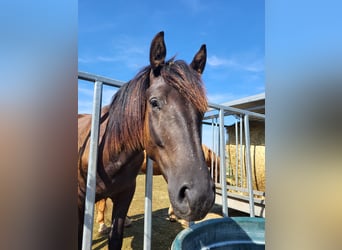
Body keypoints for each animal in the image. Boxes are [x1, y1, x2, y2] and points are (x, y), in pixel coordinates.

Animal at [79, 31, 215, 250]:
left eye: (202, 111)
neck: (107, 154)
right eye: (154, 102)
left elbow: (115, 237)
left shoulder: (125, 195)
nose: (200, 197)